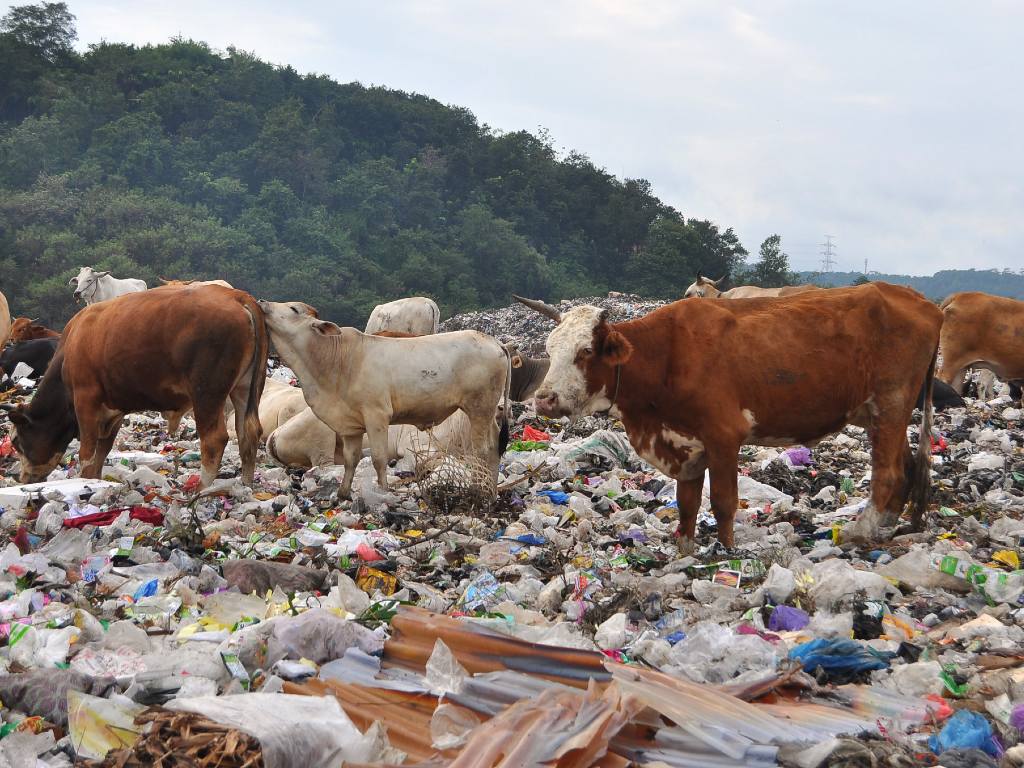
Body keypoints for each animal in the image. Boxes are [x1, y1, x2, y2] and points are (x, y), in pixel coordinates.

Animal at [258, 303, 509, 501]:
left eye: (293, 309)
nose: (262, 302)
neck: (337, 360)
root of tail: (495, 342)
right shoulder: (350, 425)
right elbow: (351, 460)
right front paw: (343, 494)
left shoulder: (376, 415)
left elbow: (378, 459)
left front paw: (383, 491)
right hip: (486, 412)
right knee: (494, 447)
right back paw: (491, 491)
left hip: (479, 408)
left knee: (482, 450)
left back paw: (479, 490)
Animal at [512, 284, 942, 552]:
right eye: (550, 348)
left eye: (585, 351)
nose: (544, 400)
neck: (665, 355)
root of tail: (922, 302)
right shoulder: (684, 443)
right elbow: (687, 503)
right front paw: (684, 551)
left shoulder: (723, 436)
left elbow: (722, 501)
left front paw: (727, 550)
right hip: (879, 414)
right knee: (905, 466)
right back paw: (887, 526)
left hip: (890, 404)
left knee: (888, 472)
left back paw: (862, 530)